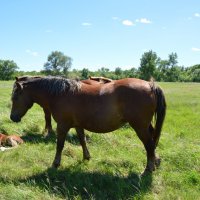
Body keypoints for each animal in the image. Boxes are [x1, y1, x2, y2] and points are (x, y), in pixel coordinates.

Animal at [9, 76, 166, 173]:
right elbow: (82, 140)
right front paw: (86, 157)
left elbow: (60, 145)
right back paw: (156, 161)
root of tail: (150, 85)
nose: (13, 117)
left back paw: (148, 169)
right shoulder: (78, 125)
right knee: (153, 142)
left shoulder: (62, 125)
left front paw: (55, 164)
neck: (61, 94)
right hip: (146, 126)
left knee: (149, 145)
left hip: (140, 127)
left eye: (15, 97)